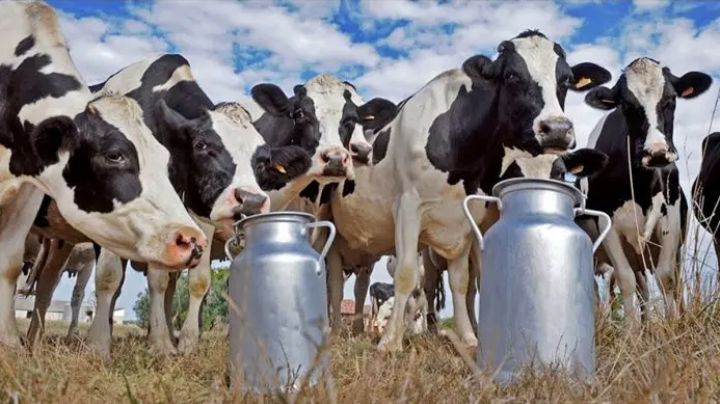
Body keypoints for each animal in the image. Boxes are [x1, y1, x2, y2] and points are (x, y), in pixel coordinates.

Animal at [0, 1, 207, 347]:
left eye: (166, 160)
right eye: (114, 154)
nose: (192, 240)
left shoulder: (28, 190)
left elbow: (9, 263)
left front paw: (10, 343)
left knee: (47, 283)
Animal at [326, 30, 612, 351]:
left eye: (565, 79)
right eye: (511, 75)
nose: (557, 129)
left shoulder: (465, 219)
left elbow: (461, 282)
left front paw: (467, 336)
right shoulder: (408, 208)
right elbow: (407, 274)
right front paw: (390, 341)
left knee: (359, 284)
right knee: (335, 284)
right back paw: (335, 331)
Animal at [581, 57, 712, 323]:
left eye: (671, 99)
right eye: (626, 106)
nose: (657, 152)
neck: (640, 188)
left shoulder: (670, 218)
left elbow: (666, 278)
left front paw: (672, 325)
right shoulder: (607, 225)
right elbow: (626, 280)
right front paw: (632, 331)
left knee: (674, 283)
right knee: (639, 287)